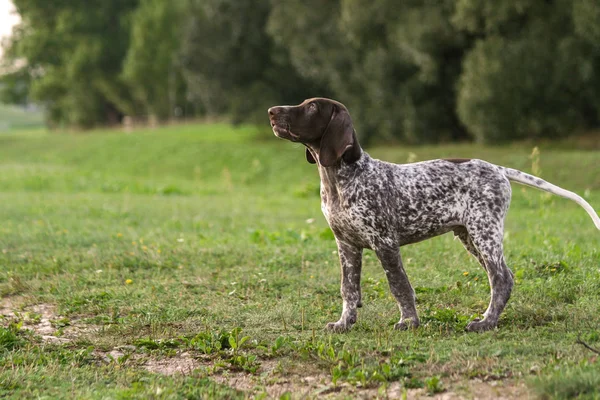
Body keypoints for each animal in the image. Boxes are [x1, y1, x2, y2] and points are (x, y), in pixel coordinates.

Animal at [268, 97, 600, 332]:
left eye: (312, 107)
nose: (271, 111)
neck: (340, 178)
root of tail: (497, 168)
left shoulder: (384, 243)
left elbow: (399, 286)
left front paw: (409, 322)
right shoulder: (346, 245)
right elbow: (348, 289)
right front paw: (344, 323)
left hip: (484, 232)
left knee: (501, 279)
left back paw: (486, 323)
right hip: (469, 236)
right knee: (500, 278)